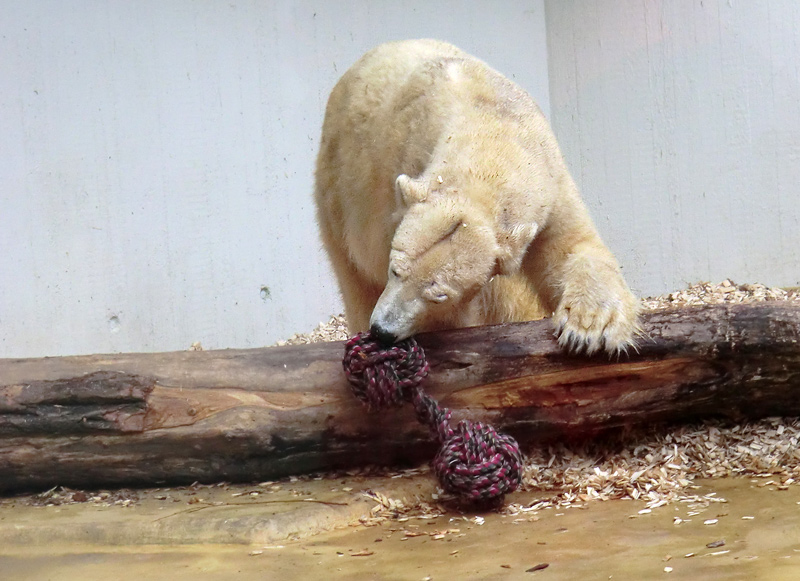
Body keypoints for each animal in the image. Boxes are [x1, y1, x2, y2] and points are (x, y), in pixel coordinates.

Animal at [312, 39, 636, 354]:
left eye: (440, 294)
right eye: (395, 270)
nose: (383, 330)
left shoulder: (551, 185)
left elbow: (571, 246)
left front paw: (590, 327)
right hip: (338, 189)